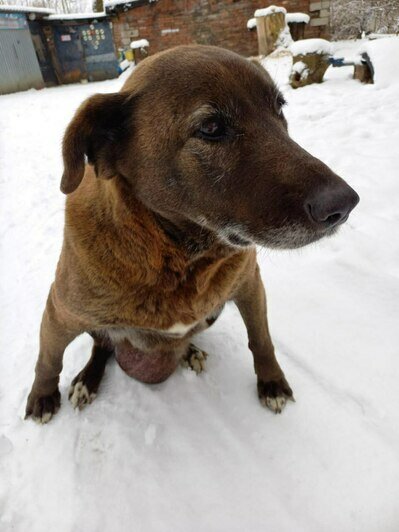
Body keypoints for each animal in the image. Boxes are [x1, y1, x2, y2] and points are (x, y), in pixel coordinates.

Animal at [26, 44, 360, 424]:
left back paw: (188, 351)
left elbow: (261, 339)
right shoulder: (59, 313)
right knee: (101, 345)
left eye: (279, 108)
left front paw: (271, 381)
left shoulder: (250, 285)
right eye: (211, 127)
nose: (343, 204)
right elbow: (48, 359)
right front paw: (42, 395)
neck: (176, 256)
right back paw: (87, 379)